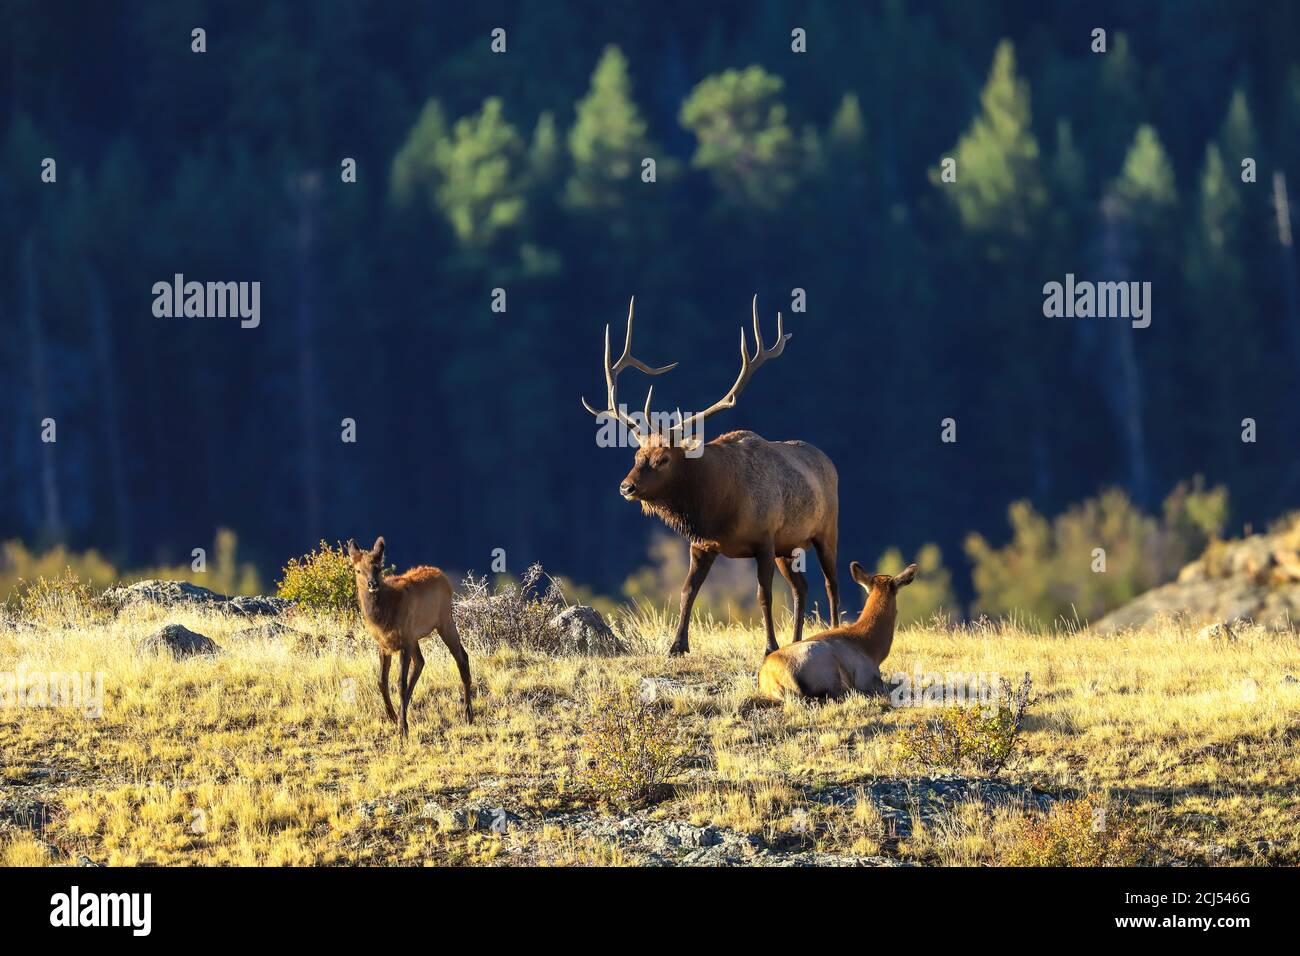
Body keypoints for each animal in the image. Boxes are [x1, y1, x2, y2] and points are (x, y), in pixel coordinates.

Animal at [348, 536, 473, 739]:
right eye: (358, 570)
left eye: (378, 568)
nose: (372, 584)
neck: (383, 618)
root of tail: (444, 577)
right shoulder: (384, 645)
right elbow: (381, 681)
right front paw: (393, 717)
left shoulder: (404, 642)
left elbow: (400, 683)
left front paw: (403, 728)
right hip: (417, 636)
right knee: (421, 662)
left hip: (444, 620)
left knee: (461, 657)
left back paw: (468, 714)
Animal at [582, 296, 840, 657]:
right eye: (636, 455)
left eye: (663, 459)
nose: (626, 487)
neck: (718, 507)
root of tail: (829, 461)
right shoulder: (702, 545)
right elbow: (687, 590)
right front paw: (677, 645)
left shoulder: (764, 539)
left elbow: (763, 594)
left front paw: (769, 646)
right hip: (788, 546)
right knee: (801, 587)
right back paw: (797, 641)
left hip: (825, 530)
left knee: (831, 583)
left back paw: (834, 632)